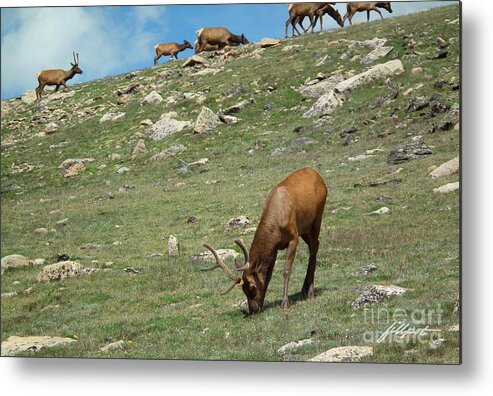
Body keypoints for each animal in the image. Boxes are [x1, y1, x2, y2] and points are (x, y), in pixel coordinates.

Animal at [200, 168, 326, 316]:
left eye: (253, 287)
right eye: (243, 289)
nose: (253, 310)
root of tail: (317, 173)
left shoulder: (293, 237)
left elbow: (286, 271)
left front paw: (284, 303)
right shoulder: (275, 246)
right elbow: (268, 275)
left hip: (317, 217)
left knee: (314, 248)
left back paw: (310, 292)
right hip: (304, 229)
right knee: (315, 245)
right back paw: (304, 290)